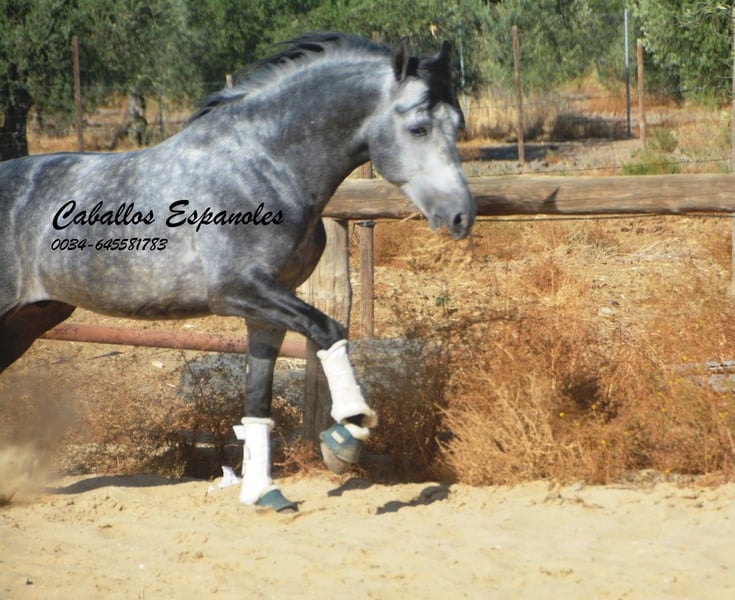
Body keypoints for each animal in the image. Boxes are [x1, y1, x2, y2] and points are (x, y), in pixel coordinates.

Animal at [0, 32, 475, 511]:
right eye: (418, 128)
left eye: (457, 125)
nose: (460, 216)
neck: (262, 167)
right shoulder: (235, 291)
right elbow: (329, 329)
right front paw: (346, 436)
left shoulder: (266, 310)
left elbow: (258, 400)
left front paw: (264, 493)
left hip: (31, 317)